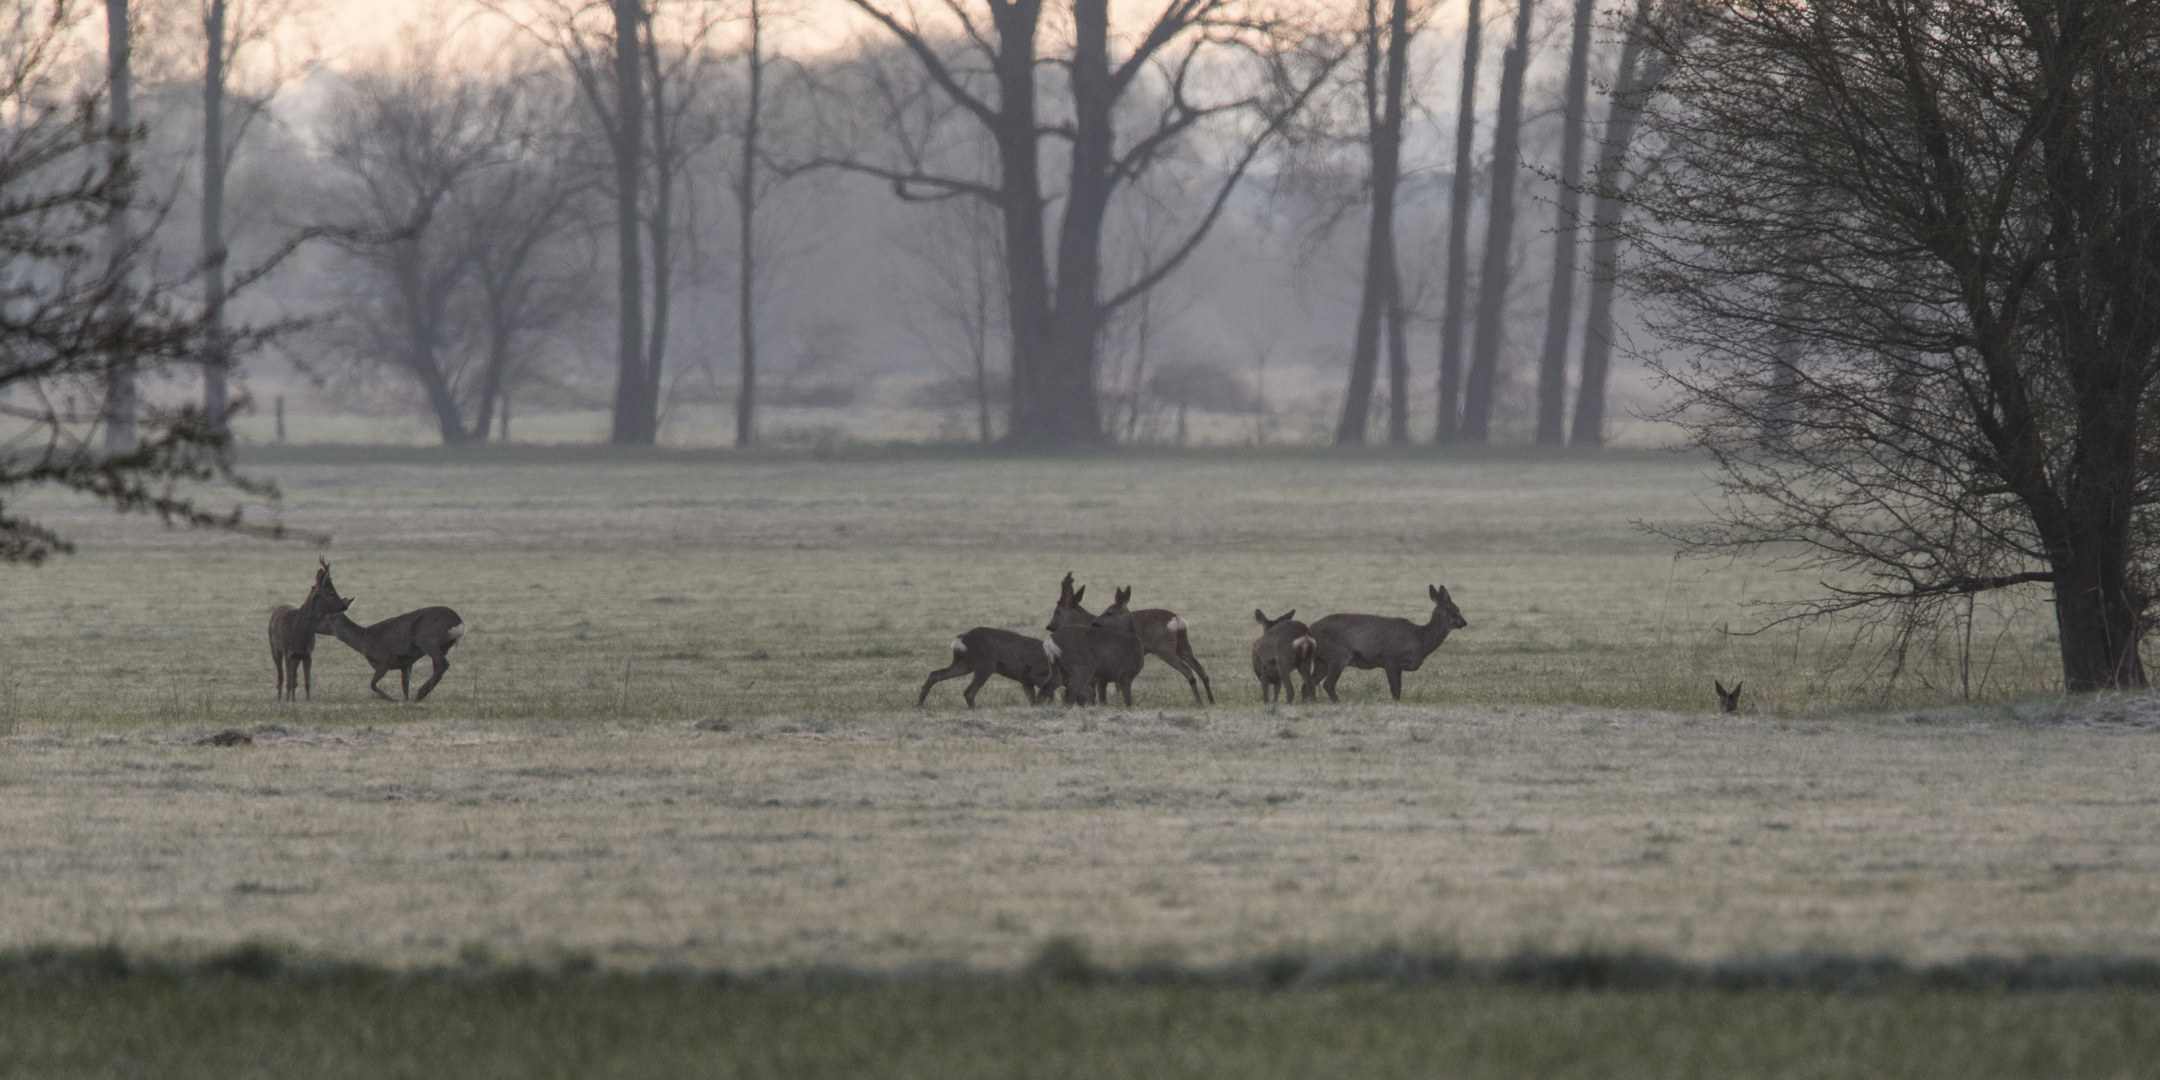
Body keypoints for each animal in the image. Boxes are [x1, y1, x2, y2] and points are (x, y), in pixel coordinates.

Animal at [270, 561, 354, 704]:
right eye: (331, 593)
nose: (345, 606)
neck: (299, 630)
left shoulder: (307, 653)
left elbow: (306, 682)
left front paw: (307, 701)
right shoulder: (288, 653)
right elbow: (288, 681)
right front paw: (287, 702)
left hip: (296, 657)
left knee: (294, 678)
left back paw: (292, 699)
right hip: (275, 648)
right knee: (281, 677)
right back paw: (280, 699)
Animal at [315, 583, 468, 699]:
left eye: (322, 615)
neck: (363, 641)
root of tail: (458, 622)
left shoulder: (384, 660)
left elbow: (372, 684)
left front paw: (391, 699)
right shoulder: (406, 664)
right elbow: (405, 688)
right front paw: (405, 701)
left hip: (427, 639)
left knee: (443, 664)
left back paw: (421, 693)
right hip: (443, 646)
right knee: (438, 667)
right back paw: (421, 694)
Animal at [911, 626, 1054, 708]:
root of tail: (961, 639)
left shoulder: (1026, 681)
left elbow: (1033, 700)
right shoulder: (1035, 674)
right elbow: (1048, 693)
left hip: (963, 665)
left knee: (934, 674)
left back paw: (919, 704)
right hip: (985, 665)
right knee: (968, 691)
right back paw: (974, 710)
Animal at [1296, 587, 1468, 704]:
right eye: (1453, 609)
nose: (1464, 622)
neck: (1420, 641)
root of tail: (1310, 629)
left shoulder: (1397, 665)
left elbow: (1398, 689)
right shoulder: (1390, 658)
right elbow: (1395, 689)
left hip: (1321, 660)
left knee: (1307, 684)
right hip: (1338, 655)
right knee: (1328, 684)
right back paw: (1337, 702)